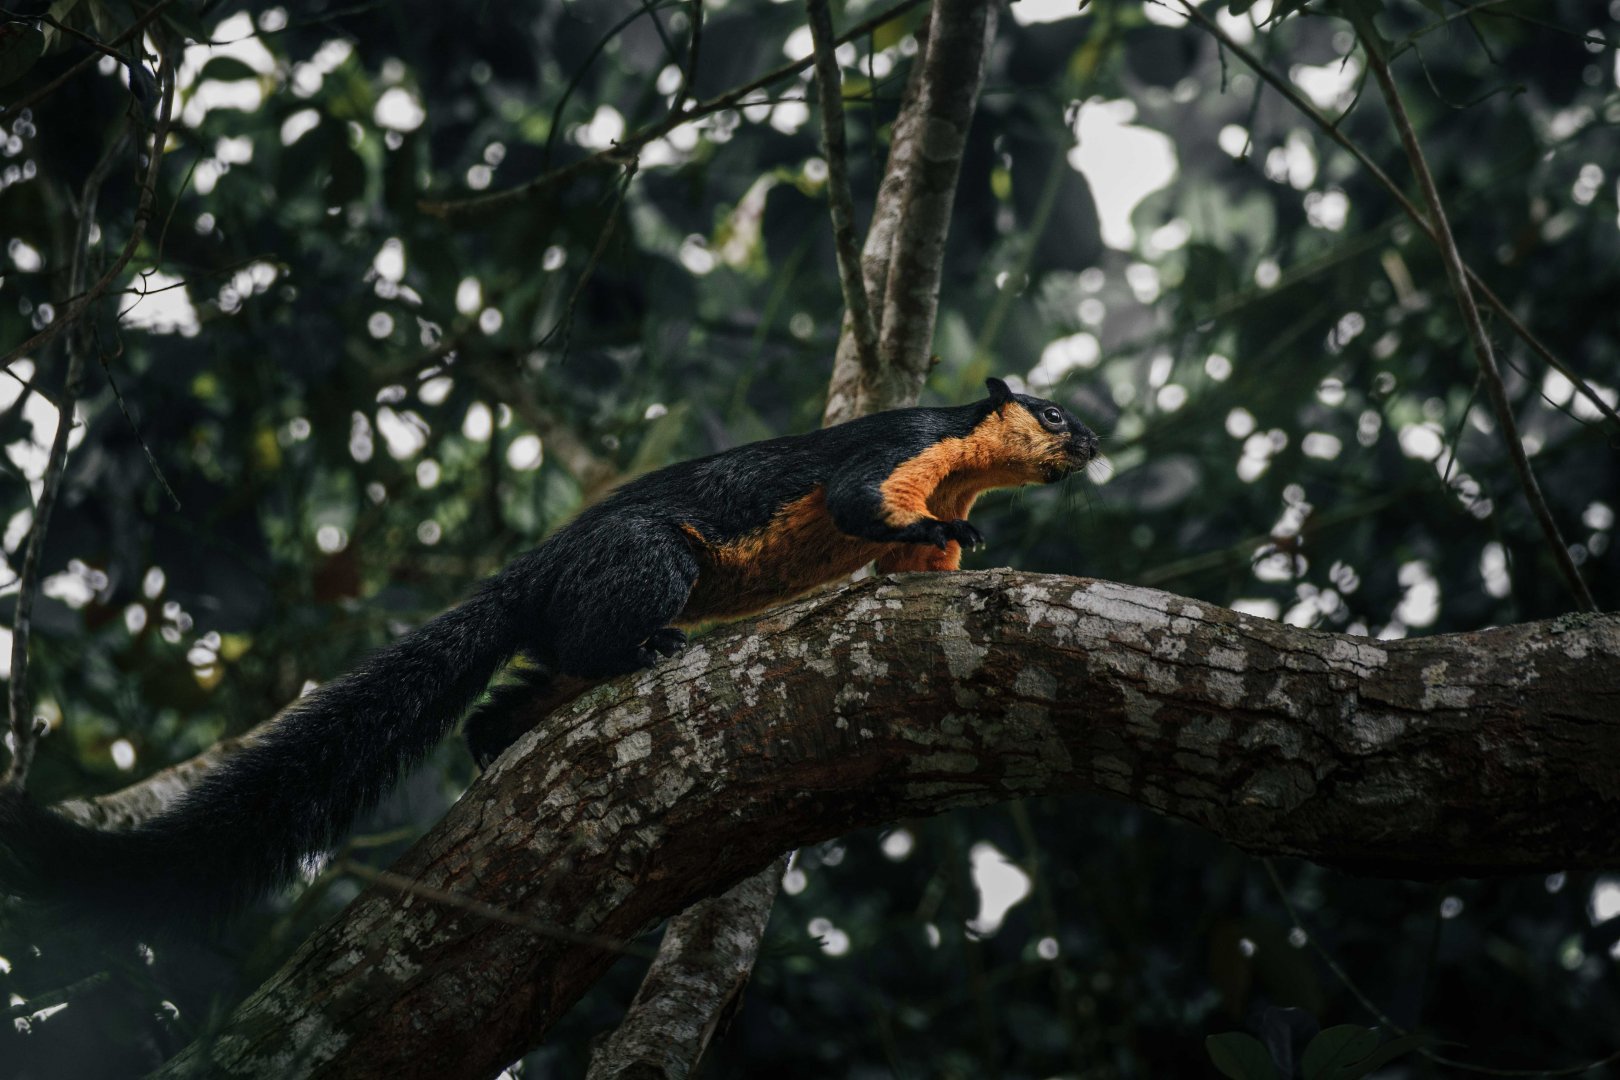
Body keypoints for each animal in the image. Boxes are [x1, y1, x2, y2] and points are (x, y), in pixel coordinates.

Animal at [0, 378, 1097, 923]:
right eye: (1050, 412)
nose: (1089, 443)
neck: (964, 468)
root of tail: (527, 577)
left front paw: (945, 552)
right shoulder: (899, 450)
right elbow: (859, 501)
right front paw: (937, 535)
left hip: (565, 631)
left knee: (517, 690)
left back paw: (496, 742)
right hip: (642, 561)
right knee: (605, 636)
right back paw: (649, 651)